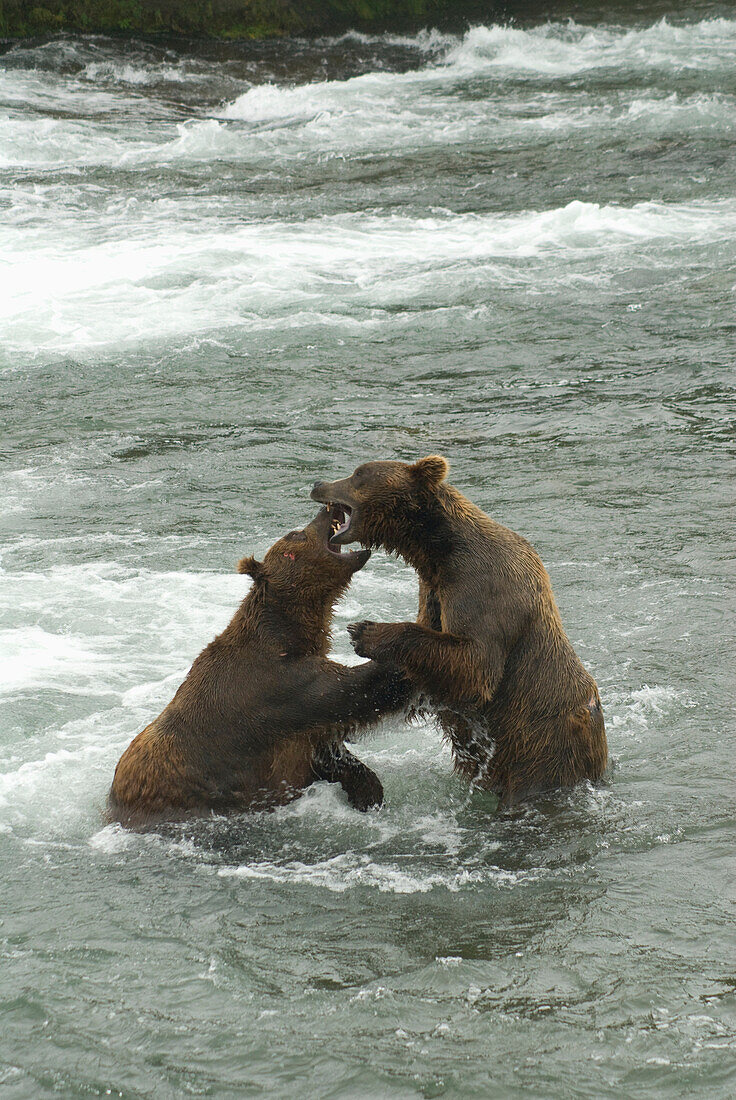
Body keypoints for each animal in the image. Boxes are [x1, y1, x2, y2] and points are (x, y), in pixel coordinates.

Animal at [107, 506, 407, 827]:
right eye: (296, 534)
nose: (327, 509)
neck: (287, 634)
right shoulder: (274, 688)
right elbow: (345, 690)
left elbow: (332, 754)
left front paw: (368, 791)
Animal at [312, 455, 607, 809]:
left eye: (358, 474)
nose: (318, 484)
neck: (438, 550)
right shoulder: (434, 590)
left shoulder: (482, 583)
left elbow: (475, 664)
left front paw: (364, 631)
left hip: (541, 747)